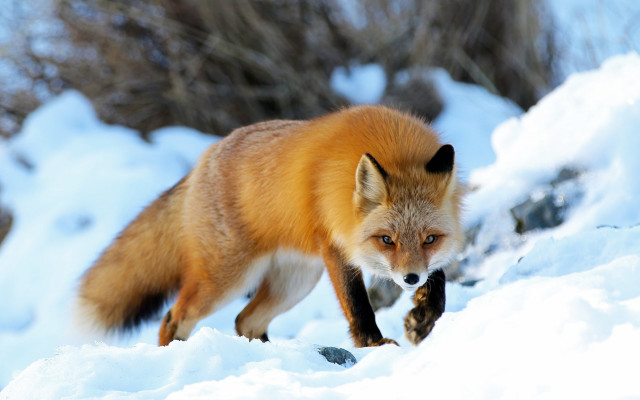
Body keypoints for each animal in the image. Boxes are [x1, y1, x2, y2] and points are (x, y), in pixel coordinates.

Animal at [77, 105, 464, 347]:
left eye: (430, 239)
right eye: (387, 239)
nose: (410, 279)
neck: (394, 148)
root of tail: (204, 159)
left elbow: (440, 281)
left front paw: (423, 319)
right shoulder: (335, 244)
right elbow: (358, 306)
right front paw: (374, 345)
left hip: (294, 282)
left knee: (245, 321)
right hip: (227, 280)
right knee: (173, 317)